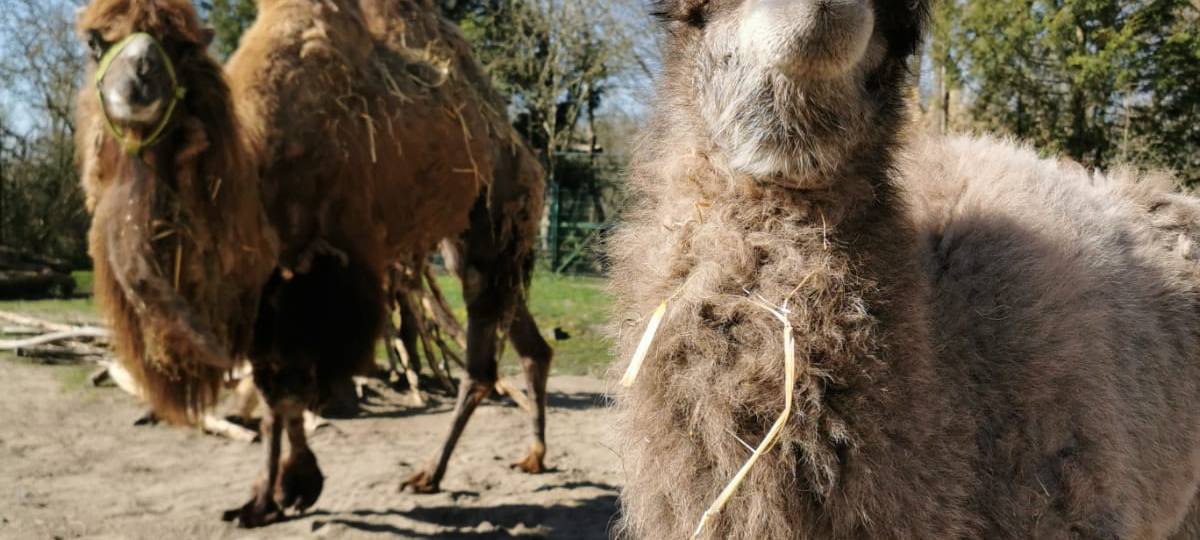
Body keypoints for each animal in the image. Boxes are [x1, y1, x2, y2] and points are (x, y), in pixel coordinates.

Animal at [75, 0, 551, 527]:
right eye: (95, 41)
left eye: (183, 47)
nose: (140, 80)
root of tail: (520, 147)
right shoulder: (266, 289)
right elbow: (271, 392)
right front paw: (270, 497)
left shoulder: (321, 273)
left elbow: (288, 391)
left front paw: (291, 487)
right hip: (470, 242)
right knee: (528, 343)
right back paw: (531, 456)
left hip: (495, 219)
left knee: (481, 360)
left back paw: (430, 473)